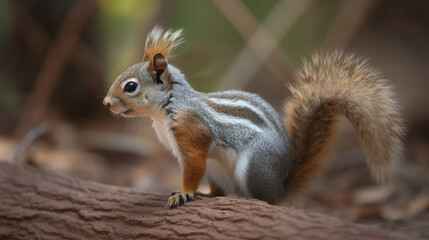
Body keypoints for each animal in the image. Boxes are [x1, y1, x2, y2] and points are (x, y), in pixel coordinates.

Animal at [103, 27, 404, 209]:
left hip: (256, 165)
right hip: (218, 170)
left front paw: (184, 192)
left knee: (262, 200)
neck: (168, 106)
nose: (106, 102)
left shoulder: (192, 131)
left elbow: (193, 167)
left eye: (131, 86)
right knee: (222, 191)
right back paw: (208, 193)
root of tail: (279, 189)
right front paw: (190, 191)